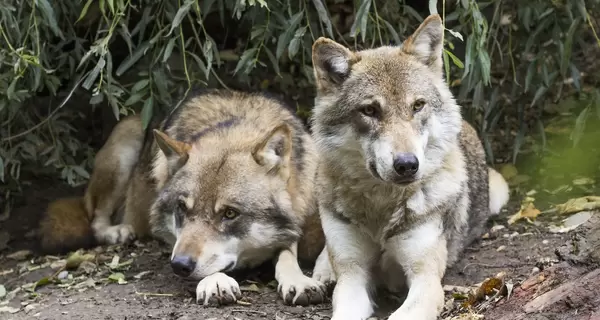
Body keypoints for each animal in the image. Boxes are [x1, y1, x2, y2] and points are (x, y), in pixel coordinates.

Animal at [38, 89, 328, 306]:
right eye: (181, 208)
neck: (235, 125)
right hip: (126, 143)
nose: (179, 265)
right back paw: (118, 231)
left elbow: (287, 251)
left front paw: (298, 280)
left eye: (230, 213)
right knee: (95, 218)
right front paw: (216, 281)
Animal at [310, 14, 510, 320]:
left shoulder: (425, 280)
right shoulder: (353, 277)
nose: (407, 165)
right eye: (370, 111)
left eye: (417, 105)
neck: (380, 209)